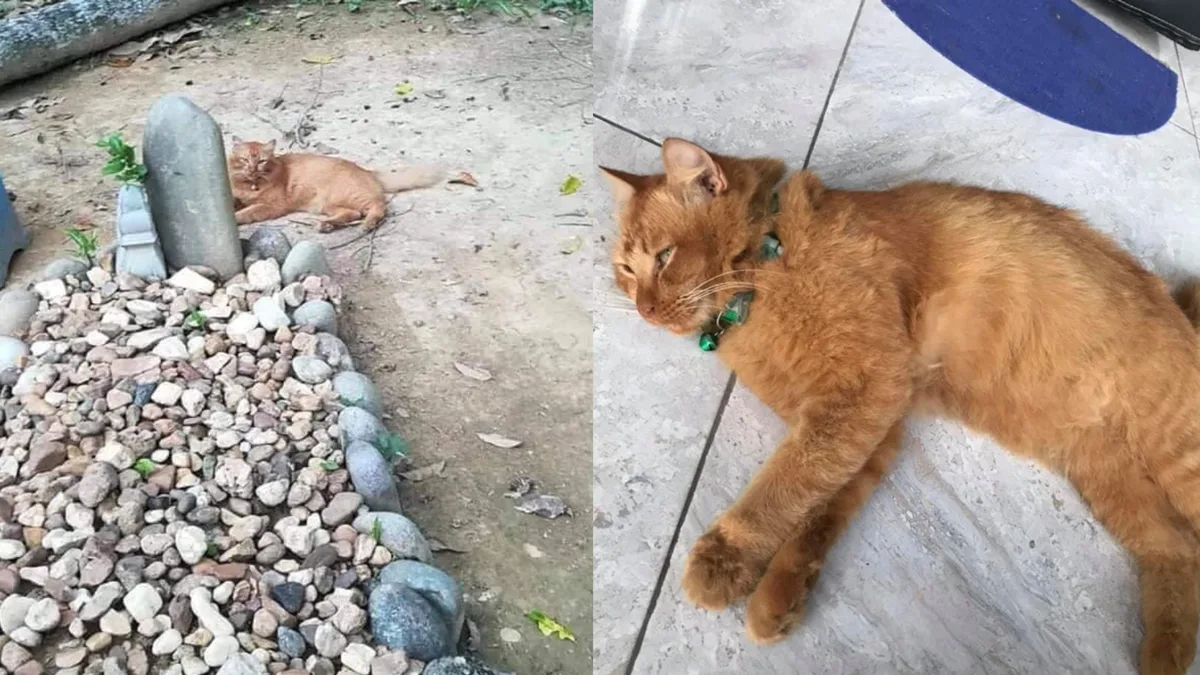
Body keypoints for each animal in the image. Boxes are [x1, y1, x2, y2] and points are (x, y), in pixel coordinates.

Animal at [225, 136, 441, 230]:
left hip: (348, 196)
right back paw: (327, 225)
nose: (252, 169)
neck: (250, 185)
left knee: (378, 207)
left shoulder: (272, 205)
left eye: (261, 161)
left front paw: (237, 217)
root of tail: (367, 171)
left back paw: (368, 224)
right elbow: (237, 203)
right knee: (353, 213)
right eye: (244, 160)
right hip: (328, 204)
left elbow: (248, 212)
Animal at [604, 138, 1200, 672]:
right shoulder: (865, 427)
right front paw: (780, 596)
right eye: (626, 271)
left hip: (1176, 460)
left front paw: (724, 559)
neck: (768, 260)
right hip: (1114, 484)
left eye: (664, 257)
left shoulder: (866, 392)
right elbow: (815, 510)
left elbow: (778, 492)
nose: (644, 310)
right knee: (1177, 550)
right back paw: (1164, 653)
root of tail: (1178, 311)